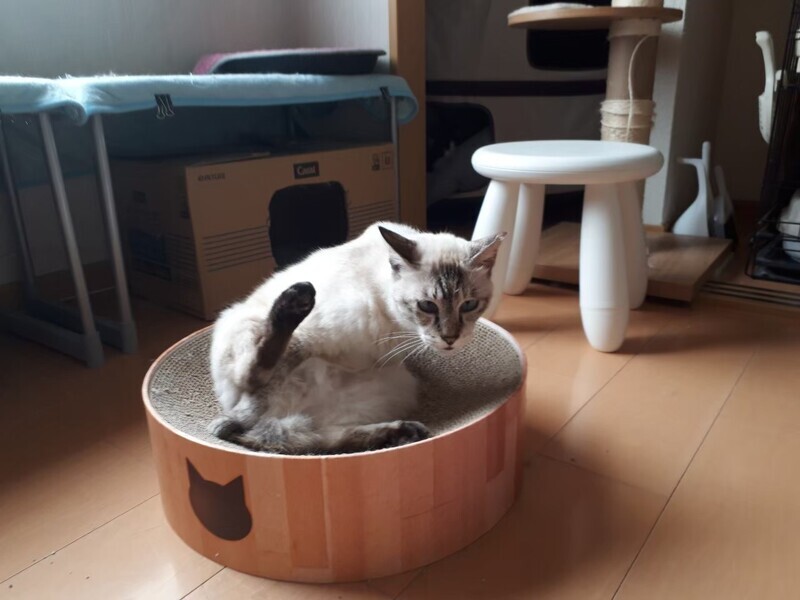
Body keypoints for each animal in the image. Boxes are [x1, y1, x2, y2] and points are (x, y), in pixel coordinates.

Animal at [208, 221, 505, 455]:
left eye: (469, 305)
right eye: (427, 306)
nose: (450, 338)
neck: (394, 322)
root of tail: (289, 408)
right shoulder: (305, 339)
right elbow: (255, 392)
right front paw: (226, 424)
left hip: (394, 383)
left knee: (315, 440)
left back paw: (405, 432)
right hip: (243, 327)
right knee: (256, 384)